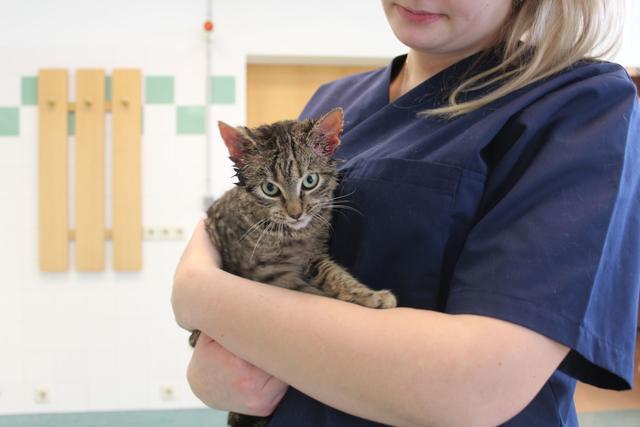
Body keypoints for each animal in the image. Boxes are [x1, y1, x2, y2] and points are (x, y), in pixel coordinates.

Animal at [189, 108, 396, 427]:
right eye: (269, 189)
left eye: (310, 181)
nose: (296, 213)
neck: (292, 234)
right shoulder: (268, 275)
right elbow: (309, 291)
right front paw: (367, 297)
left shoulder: (313, 256)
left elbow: (331, 274)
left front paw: (362, 293)